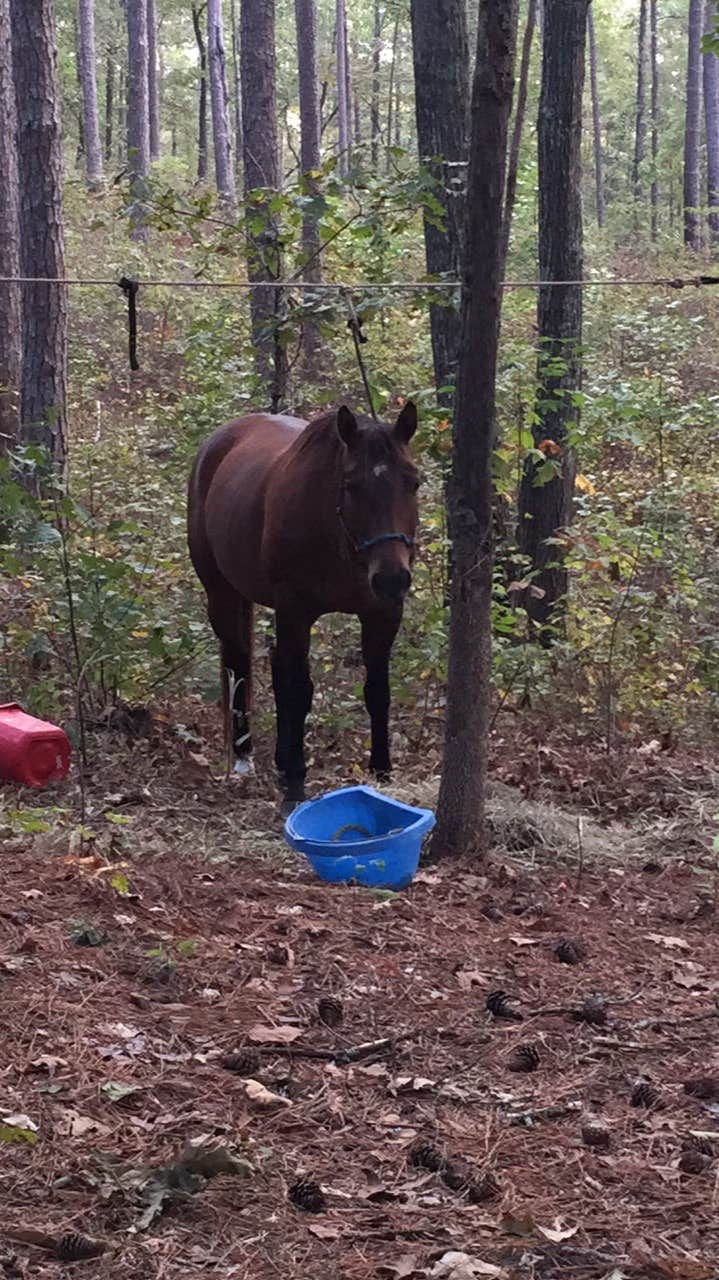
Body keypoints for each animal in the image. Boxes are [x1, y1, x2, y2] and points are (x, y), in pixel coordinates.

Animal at [188, 404, 417, 814]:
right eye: (351, 485)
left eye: (414, 482)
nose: (392, 579)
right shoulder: (295, 610)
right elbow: (297, 689)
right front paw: (295, 780)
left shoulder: (382, 614)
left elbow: (377, 690)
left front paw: (382, 771)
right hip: (222, 592)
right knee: (240, 663)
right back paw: (245, 754)